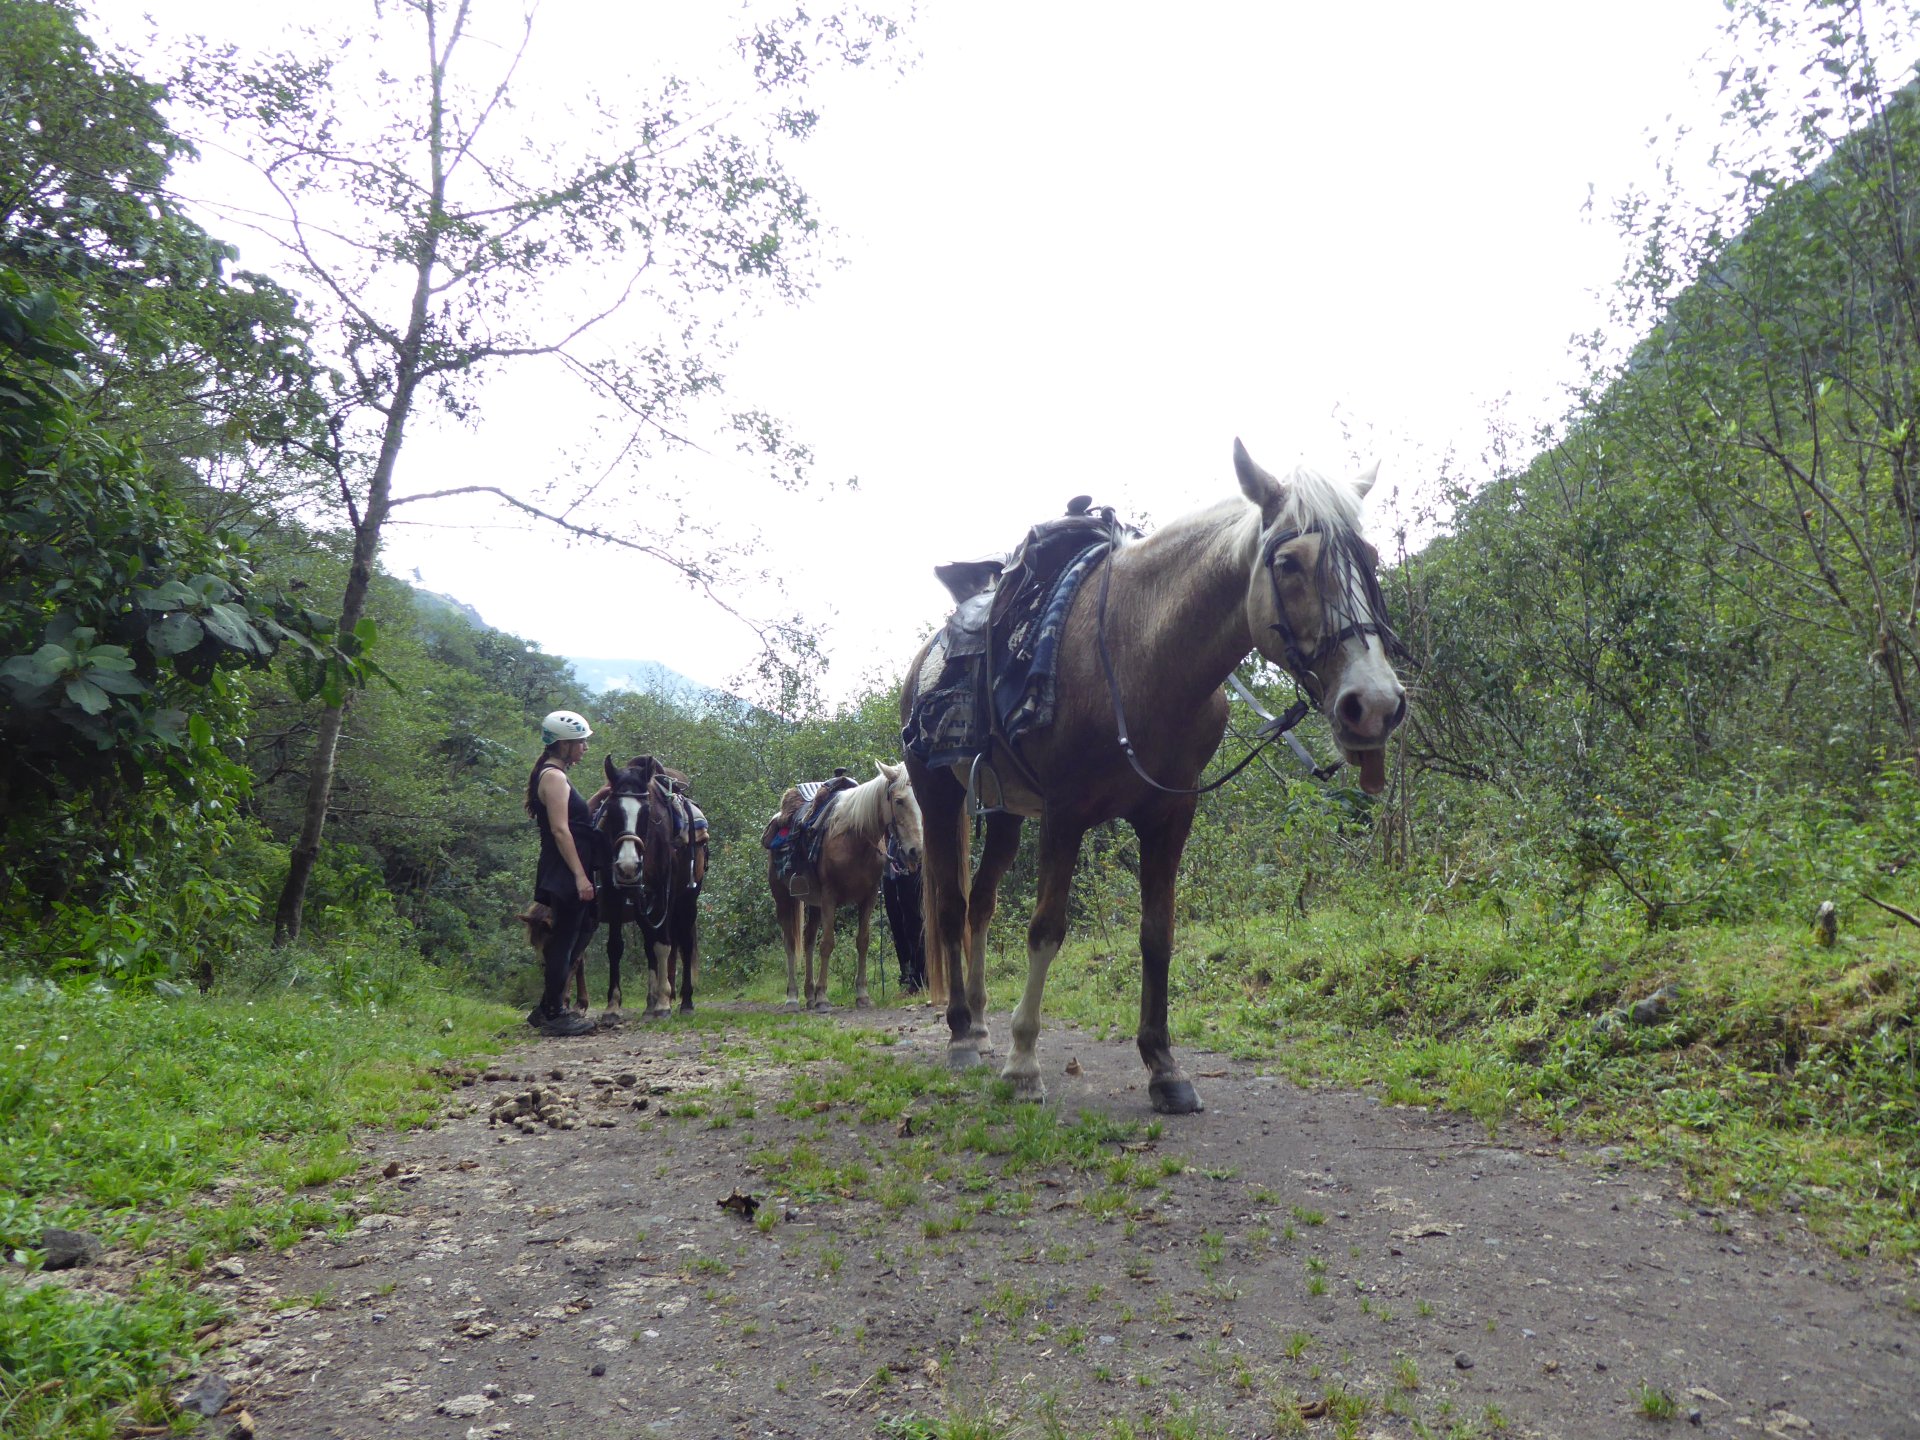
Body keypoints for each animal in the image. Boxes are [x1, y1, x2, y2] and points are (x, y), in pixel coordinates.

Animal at [591, 754, 706, 1017]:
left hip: (687, 899)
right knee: (648, 943)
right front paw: (613, 1006)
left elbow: (663, 944)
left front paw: (664, 1002)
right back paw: (650, 1002)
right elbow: (616, 947)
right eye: (612, 811)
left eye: (646, 812)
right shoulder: (615, 893)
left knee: (684, 943)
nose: (628, 865)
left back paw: (685, 1001)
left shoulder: (666, 893)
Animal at [767, 761, 924, 1011]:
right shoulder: (829, 897)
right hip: (783, 897)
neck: (854, 838)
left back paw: (809, 994)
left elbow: (862, 942)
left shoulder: (868, 898)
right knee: (790, 942)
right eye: (898, 800)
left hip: (814, 903)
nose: (915, 851)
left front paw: (862, 995)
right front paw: (823, 996)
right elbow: (827, 943)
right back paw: (793, 997)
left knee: (808, 940)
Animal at [900, 439, 1407, 1113]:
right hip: (937, 796)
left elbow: (1157, 934)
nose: (1373, 705)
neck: (1137, 655)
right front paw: (1024, 1062)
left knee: (980, 904)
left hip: (1005, 811)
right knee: (952, 907)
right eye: (1290, 563)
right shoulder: (1065, 814)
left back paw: (980, 1026)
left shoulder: (1170, 815)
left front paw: (1163, 1066)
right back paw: (961, 1034)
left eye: (1368, 559)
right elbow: (1045, 930)